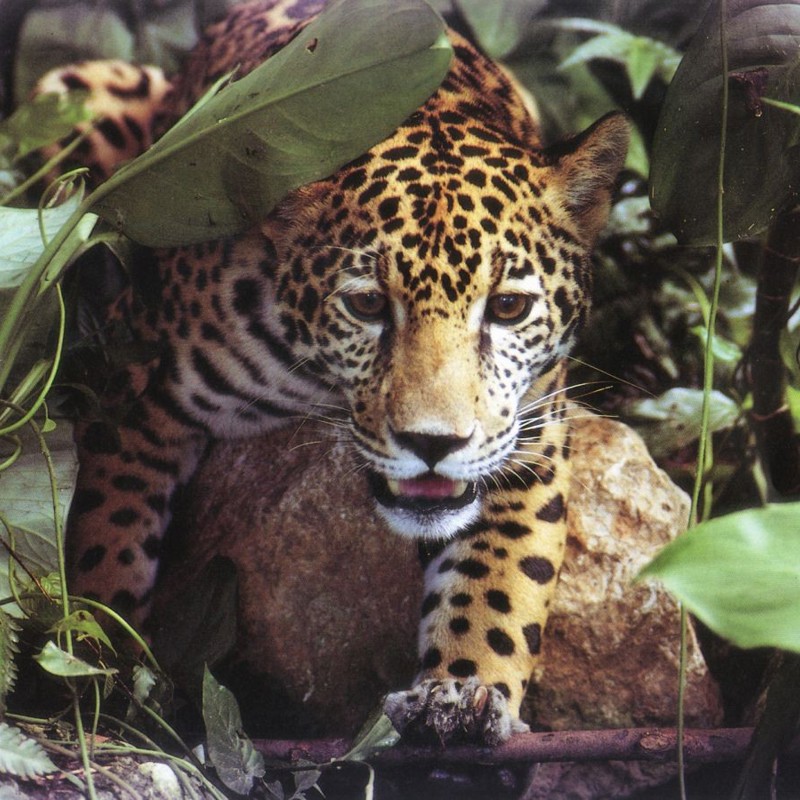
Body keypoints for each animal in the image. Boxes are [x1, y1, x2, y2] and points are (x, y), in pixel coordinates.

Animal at [33, 0, 629, 744]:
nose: (433, 444)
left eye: (509, 307)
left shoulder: (530, 436)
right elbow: (105, 546)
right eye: (367, 304)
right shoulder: (131, 391)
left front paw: (464, 693)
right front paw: (99, 673)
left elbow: (501, 577)